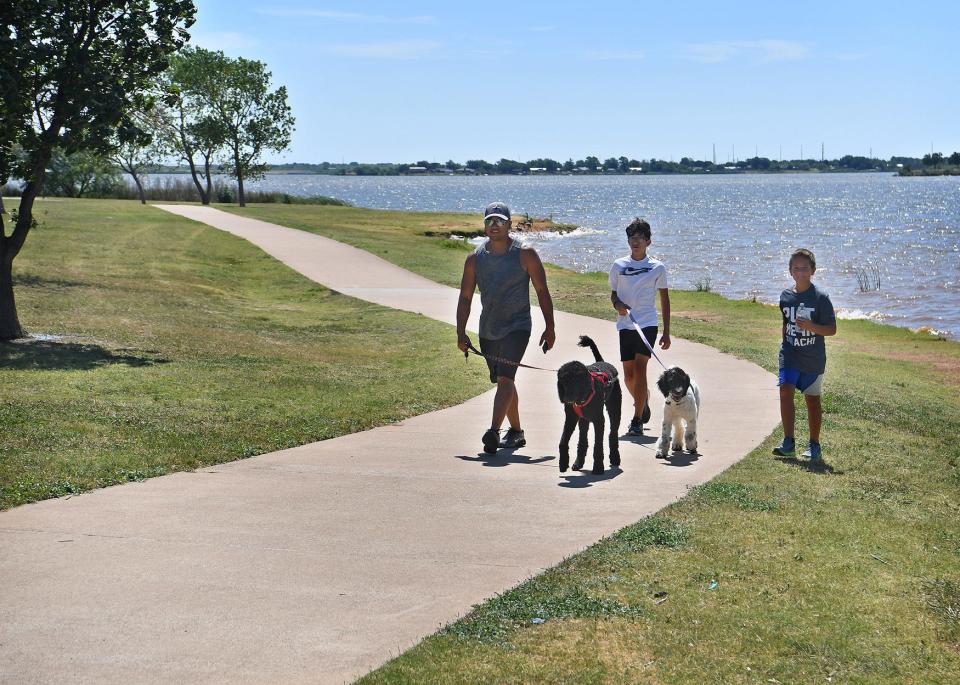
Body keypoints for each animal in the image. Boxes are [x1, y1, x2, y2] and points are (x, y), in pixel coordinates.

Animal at [556, 334, 624, 472]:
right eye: (564, 381)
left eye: (577, 381)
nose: (567, 398)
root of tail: (602, 361)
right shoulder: (571, 418)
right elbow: (563, 441)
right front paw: (563, 462)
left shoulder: (599, 420)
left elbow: (598, 445)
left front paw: (598, 468)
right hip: (583, 420)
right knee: (583, 440)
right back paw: (578, 462)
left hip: (615, 410)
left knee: (613, 434)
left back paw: (615, 457)